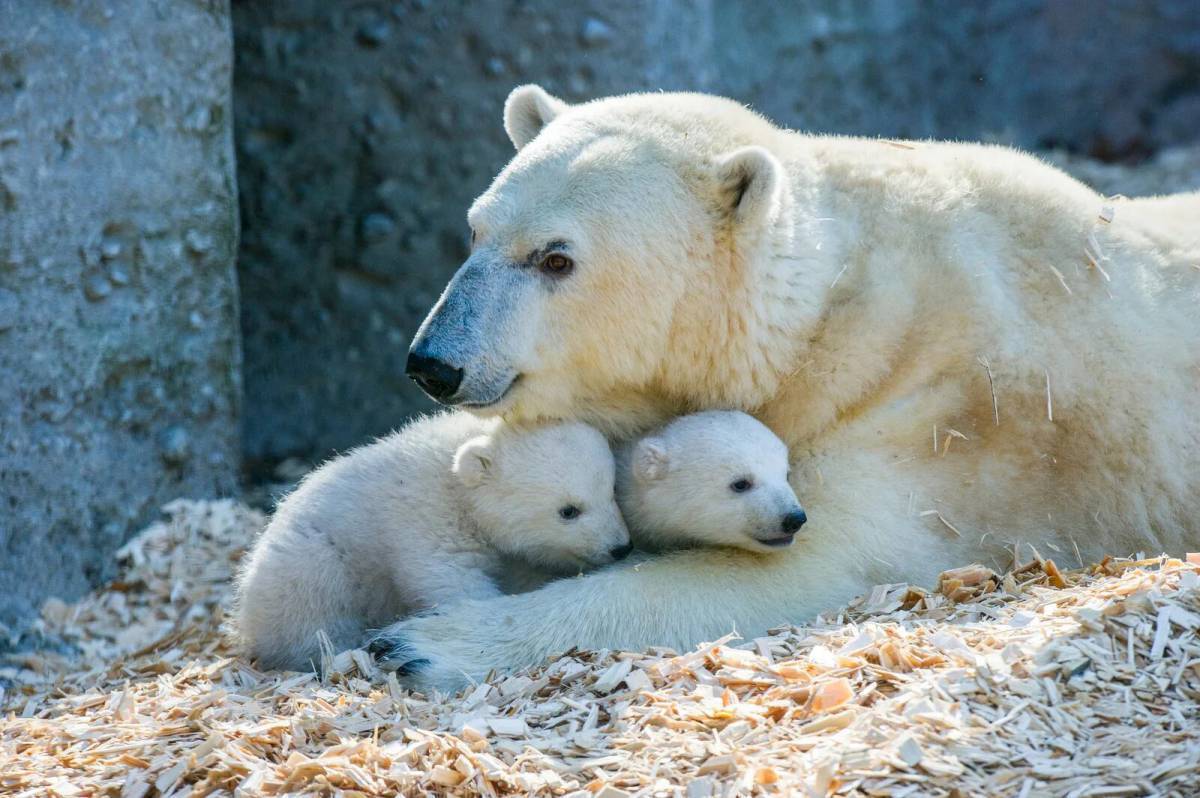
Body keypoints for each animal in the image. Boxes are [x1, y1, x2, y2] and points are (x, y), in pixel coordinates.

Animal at [232, 410, 628, 672]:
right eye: (568, 510)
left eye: (611, 490)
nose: (620, 546)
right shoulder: (425, 515)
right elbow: (446, 573)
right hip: (311, 571)